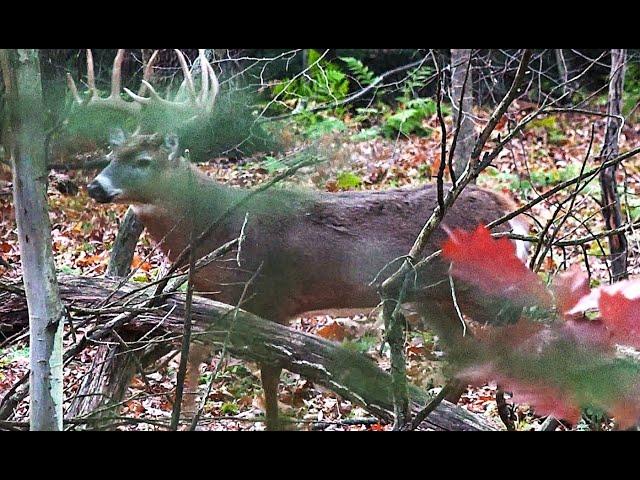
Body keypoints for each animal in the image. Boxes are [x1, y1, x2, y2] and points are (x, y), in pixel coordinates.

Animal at [67, 49, 532, 432]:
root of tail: (506, 202)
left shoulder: (268, 299)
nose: (95, 186)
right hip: (435, 299)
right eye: (111, 156)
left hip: (478, 287)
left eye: (144, 161)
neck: (221, 228)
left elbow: (269, 384)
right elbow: (197, 362)